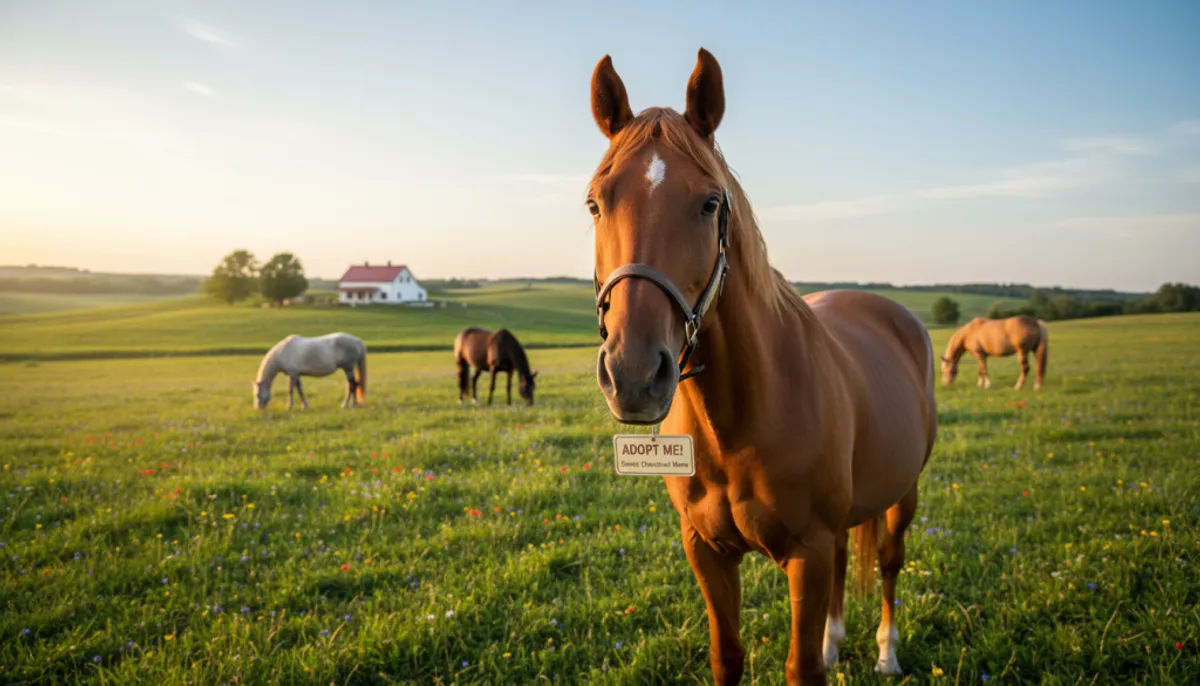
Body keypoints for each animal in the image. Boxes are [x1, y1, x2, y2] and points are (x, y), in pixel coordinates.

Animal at [587, 49, 938, 684]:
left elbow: (801, 668)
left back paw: (886, 652)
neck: (742, 419)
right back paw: (835, 640)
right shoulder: (706, 551)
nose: (632, 374)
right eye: (596, 203)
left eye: (710, 203)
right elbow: (727, 656)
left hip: (905, 494)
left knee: (890, 563)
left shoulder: (808, 552)